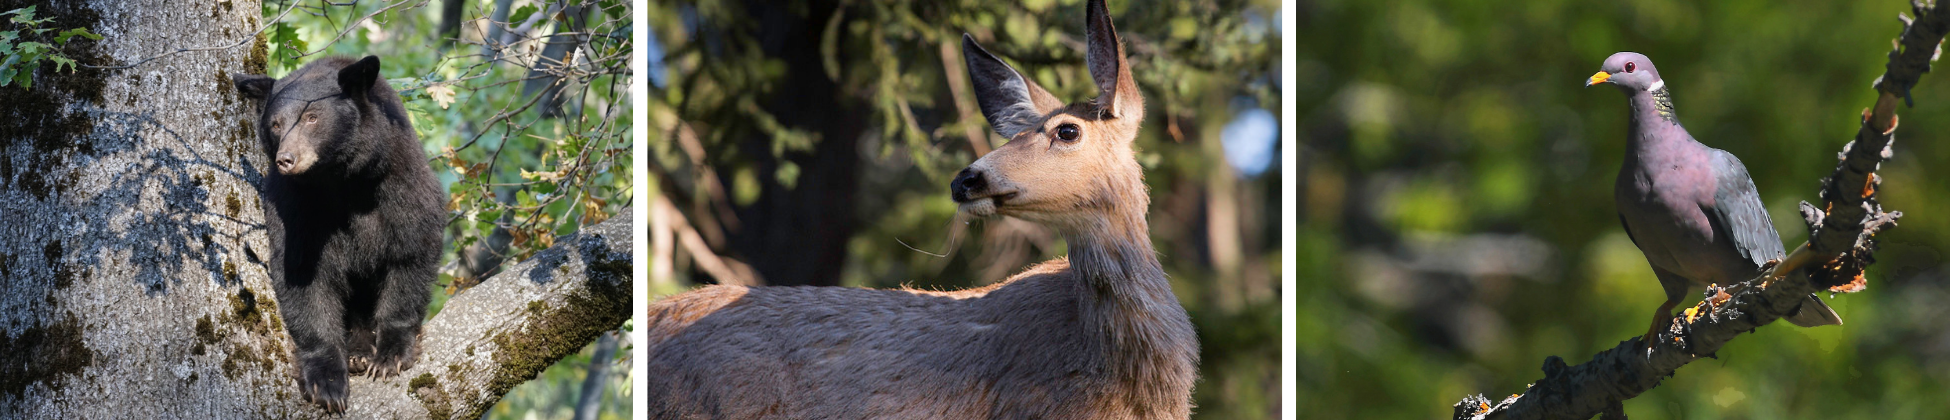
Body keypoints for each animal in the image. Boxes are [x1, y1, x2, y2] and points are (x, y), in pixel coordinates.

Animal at [231, 56, 445, 413]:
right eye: (276, 124)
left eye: (312, 118)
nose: (287, 159)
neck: (340, 181)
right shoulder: (295, 207)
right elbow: (303, 276)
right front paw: (327, 380)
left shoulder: (400, 182)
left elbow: (411, 251)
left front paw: (390, 355)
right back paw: (356, 352)